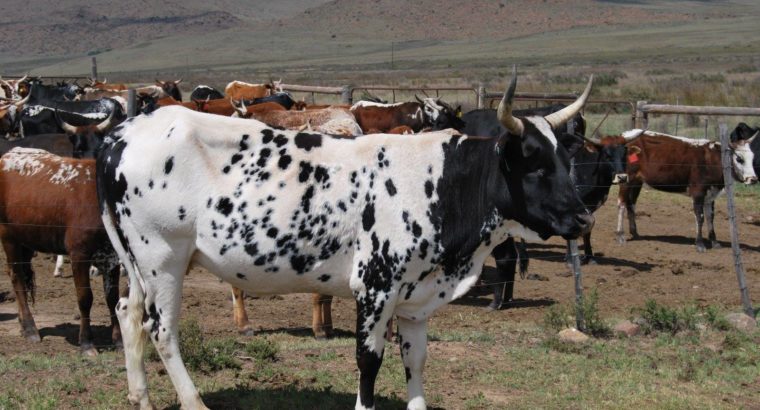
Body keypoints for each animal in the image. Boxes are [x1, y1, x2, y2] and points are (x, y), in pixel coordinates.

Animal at [0, 148, 122, 356]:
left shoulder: (113, 257)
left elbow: (112, 298)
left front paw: (119, 340)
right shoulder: (79, 253)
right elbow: (85, 298)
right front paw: (86, 343)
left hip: (27, 239)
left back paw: (23, 324)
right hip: (8, 236)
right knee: (17, 278)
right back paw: (30, 328)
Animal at [96, 69, 593, 410]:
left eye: (565, 159)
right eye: (534, 163)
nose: (584, 217)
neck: (438, 183)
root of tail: (125, 131)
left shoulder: (415, 297)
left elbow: (416, 359)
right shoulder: (375, 288)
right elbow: (368, 361)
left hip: (138, 261)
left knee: (127, 312)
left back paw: (141, 397)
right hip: (163, 257)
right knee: (161, 329)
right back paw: (193, 402)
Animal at [616, 129, 758, 252]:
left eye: (752, 158)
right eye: (739, 158)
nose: (753, 179)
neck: (711, 160)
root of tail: (624, 137)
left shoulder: (710, 195)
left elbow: (710, 217)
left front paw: (715, 242)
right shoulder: (698, 192)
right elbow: (700, 217)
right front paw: (700, 244)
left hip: (636, 183)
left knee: (631, 204)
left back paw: (635, 233)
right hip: (627, 179)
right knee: (621, 203)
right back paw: (620, 235)